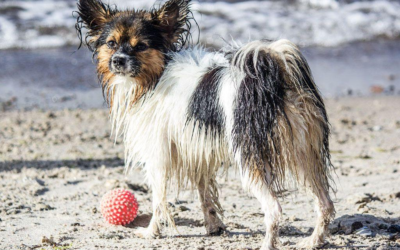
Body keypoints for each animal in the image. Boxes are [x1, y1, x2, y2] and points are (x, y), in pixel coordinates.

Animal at [75, 0, 334, 249]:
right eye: (111, 43)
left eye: (140, 46)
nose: (118, 60)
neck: (154, 77)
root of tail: (273, 79)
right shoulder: (198, 148)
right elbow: (204, 192)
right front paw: (213, 225)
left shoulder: (158, 154)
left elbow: (159, 200)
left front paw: (151, 232)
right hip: (304, 155)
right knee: (325, 203)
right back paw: (314, 241)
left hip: (251, 159)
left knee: (274, 208)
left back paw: (268, 245)